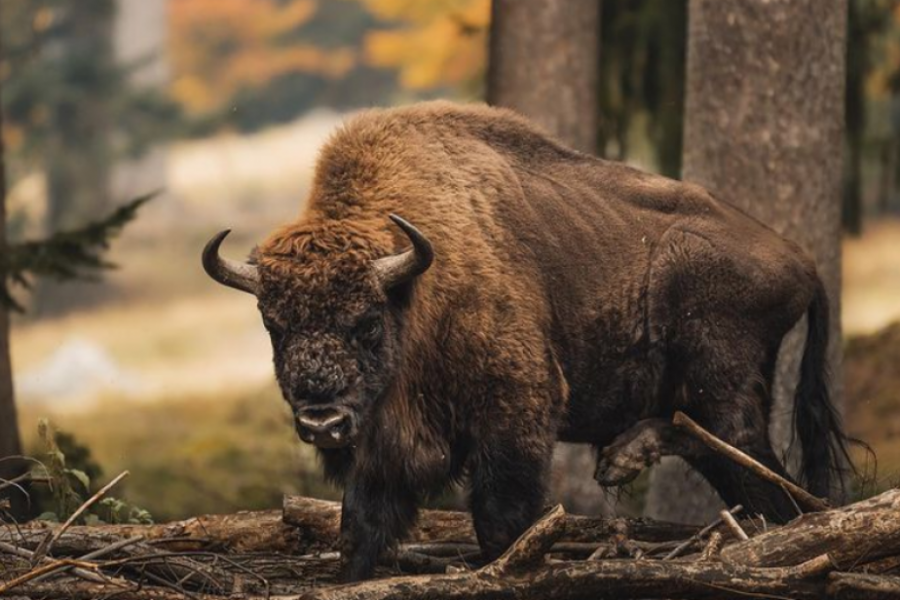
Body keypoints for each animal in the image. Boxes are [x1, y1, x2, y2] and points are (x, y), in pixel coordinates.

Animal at [200, 102, 856, 580]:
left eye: (367, 323)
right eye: (274, 325)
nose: (322, 421)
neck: (416, 287)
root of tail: (800, 260)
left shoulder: (517, 411)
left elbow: (500, 518)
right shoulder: (384, 448)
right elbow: (359, 528)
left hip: (723, 389)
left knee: (756, 467)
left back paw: (628, 459)